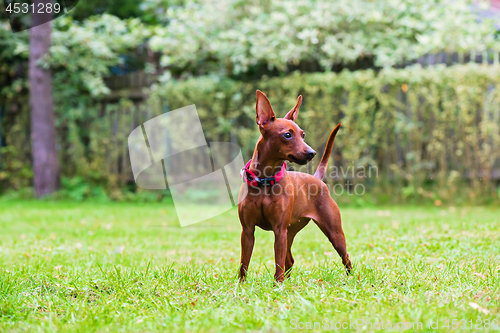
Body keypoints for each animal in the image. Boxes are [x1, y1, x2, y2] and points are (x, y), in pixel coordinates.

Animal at [238, 90, 352, 280]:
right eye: (287, 135)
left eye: (302, 134)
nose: (312, 153)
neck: (265, 181)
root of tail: (317, 179)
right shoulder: (247, 231)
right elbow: (244, 265)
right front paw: (241, 285)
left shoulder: (279, 230)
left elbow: (278, 263)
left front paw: (277, 284)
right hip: (290, 232)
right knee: (289, 261)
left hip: (333, 233)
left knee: (346, 258)